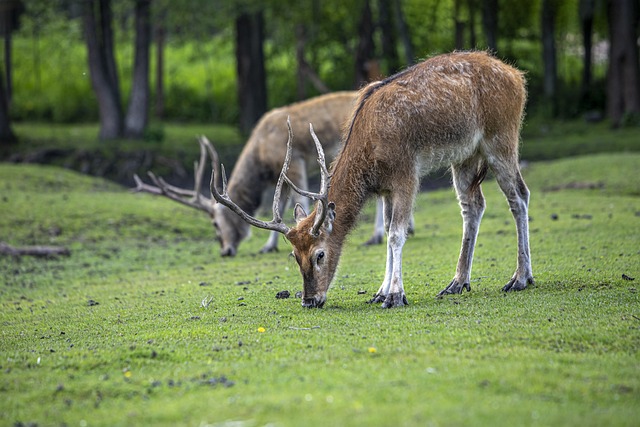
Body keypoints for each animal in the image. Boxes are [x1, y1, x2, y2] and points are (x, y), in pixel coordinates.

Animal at [133, 91, 402, 258]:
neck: (261, 154)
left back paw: (376, 236)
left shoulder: (295, 163)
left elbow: (300, 201)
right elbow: (279, 206)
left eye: (215, 224)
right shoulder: (278, 177)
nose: (225, 251)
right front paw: (268, 246)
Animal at [211, 51, 536, 310]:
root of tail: (517, 76)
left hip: (501, 138)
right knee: (473, 206)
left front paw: (395, 296)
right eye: (294, 256)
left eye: (319, 254)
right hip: (465, 156)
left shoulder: (406, 174)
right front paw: (380, 292)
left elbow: (396, 234)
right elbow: (388, 232)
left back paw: (520, 278)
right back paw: (457, 282)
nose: (309, 300)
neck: (370, 153)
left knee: (519, 195)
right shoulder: (385, 188)